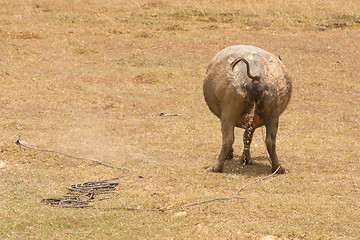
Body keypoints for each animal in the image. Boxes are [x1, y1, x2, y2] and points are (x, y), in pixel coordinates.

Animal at [204, 44, 292, 172]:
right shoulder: (253, 122)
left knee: (228, 138)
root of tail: (257, 77)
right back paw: (278, 168)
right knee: (270, 140)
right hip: (272, 114)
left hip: (229, 113)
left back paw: (216, 167)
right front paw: (246, 159)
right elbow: (247, 137)